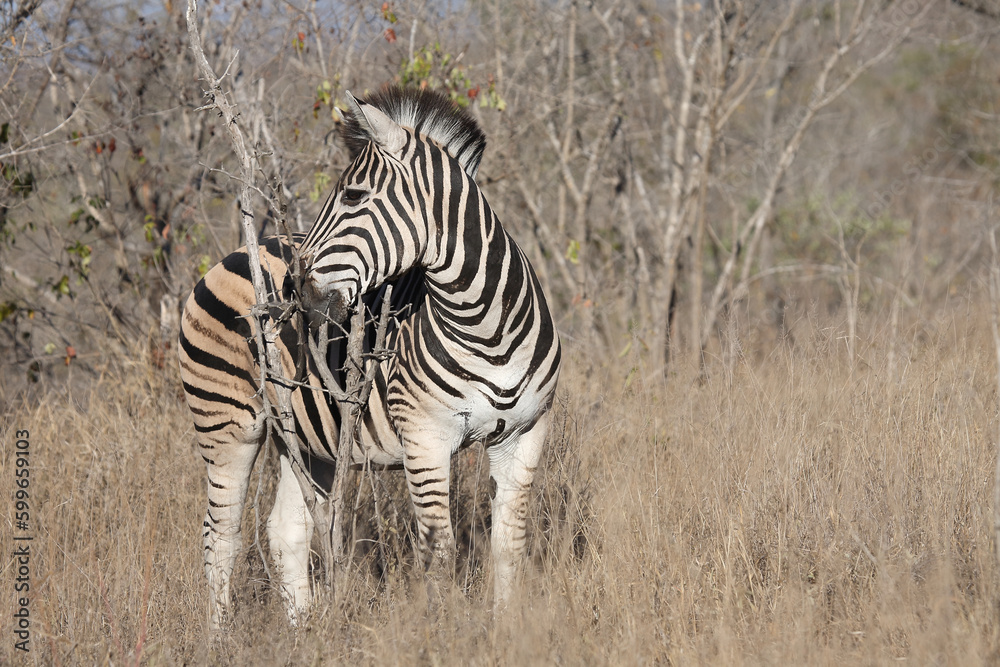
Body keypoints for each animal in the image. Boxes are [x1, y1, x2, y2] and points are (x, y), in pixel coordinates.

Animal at [178, 86, 561, 627]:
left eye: (354, 197)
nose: (292, 288)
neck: (488, 328)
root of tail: (234, 254)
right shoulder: (425, 438)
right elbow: (438, 551)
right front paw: (443, 633)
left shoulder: (525, 435)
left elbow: (509, 544)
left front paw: (507, 630)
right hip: (226, 426)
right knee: (220, 536)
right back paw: (219, 637)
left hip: (305, 440)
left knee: (286, 531)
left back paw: (304, 633)